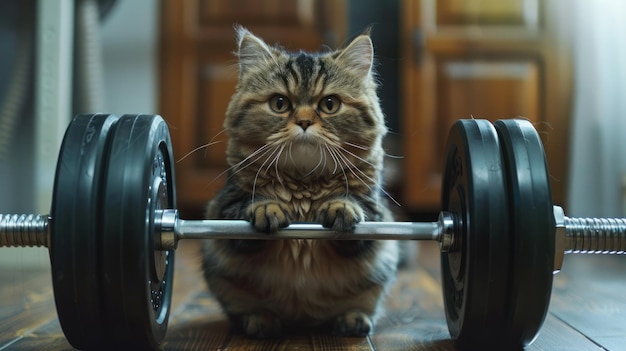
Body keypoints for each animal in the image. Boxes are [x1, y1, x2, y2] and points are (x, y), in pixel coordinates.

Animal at [201, 26, 400, 340]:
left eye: (329, 104)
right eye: (279, 104)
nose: (304, 122)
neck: (304, 183)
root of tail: (301, 319)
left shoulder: (375, 212)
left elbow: (356, 211)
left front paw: (340, 208)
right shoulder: (225, 206)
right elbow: (248, 209)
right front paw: (268, 208)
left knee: (361, 308)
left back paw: (353, 319)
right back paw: (259, 321)